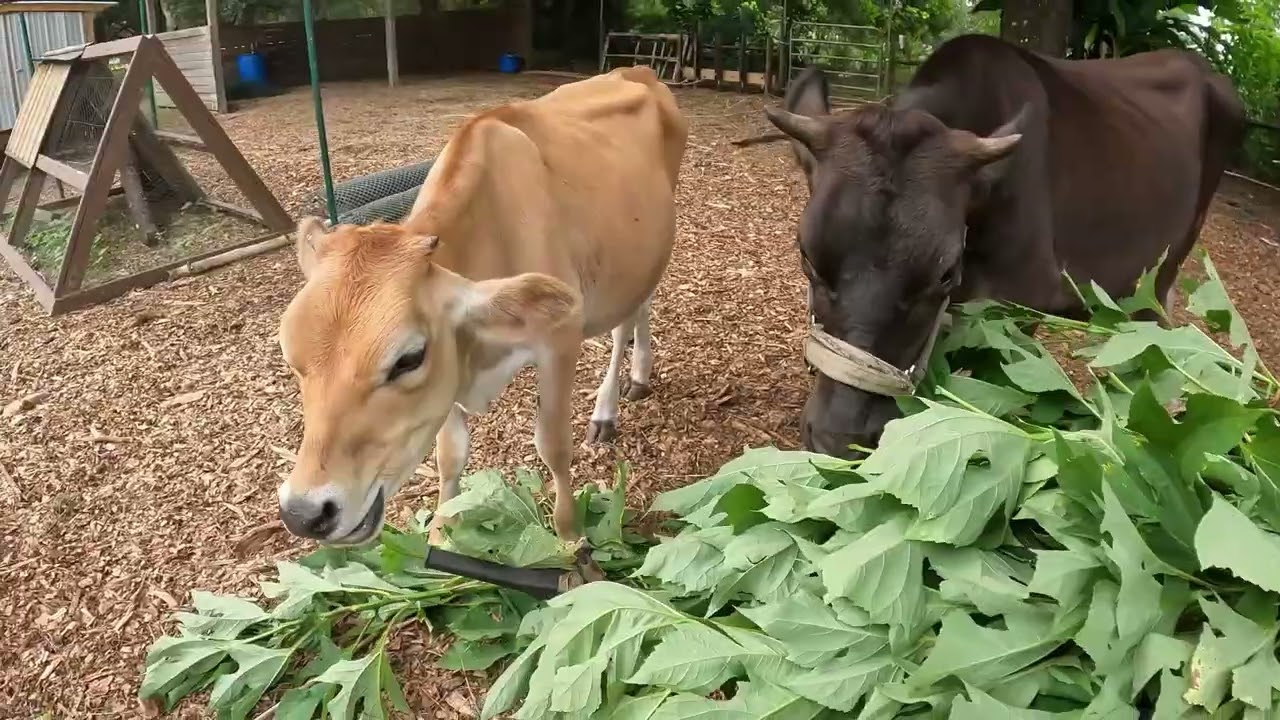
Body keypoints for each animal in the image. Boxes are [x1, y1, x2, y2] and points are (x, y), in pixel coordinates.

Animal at [274, 65, 689, 547]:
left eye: (409, 358)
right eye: (292, 359)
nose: (304, 513)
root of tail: (635, 70)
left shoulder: (560, 336)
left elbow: (553, 445)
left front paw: (569, 538)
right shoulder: (452, 365)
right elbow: (450, 455)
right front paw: (441, 532)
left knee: (628, 320)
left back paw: (612, 403)